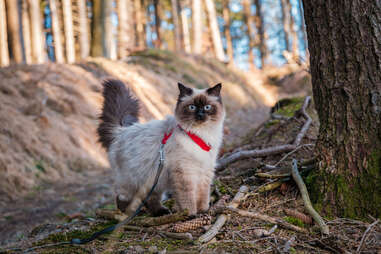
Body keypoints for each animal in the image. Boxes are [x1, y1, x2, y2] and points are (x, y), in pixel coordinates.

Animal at [96, 80, 224, 215]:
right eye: (192, 107)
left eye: (207, 107)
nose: (200, 115)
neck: (200, 134)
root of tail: (121, 130)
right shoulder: (185, 172)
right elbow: (188, 197)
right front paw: (190, 214)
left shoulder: (205, 170)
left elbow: (203, 195)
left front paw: (203, 210)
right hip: (132, 179)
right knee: (121, 196)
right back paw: (127, 212)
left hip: (155, 179)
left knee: (150, 198)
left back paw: (160, 212)